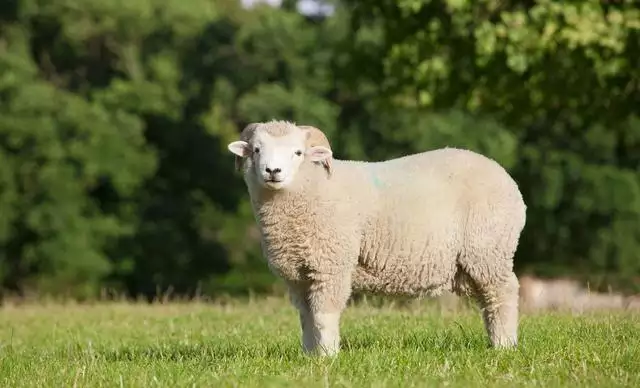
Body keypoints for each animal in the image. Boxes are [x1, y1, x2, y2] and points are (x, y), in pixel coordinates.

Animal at [228, 119, 528, 356]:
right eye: (256, 150)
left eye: (297, 152)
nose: (272, 171)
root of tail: (507, 179)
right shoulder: (299, 275)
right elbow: (307, 318)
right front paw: (309, 355)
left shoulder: (332, 266)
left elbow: (324, 315)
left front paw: (328, 356)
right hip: (472, 262)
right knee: (488, 300)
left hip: (488, 250)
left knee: (503, 293)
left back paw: (504, 345)